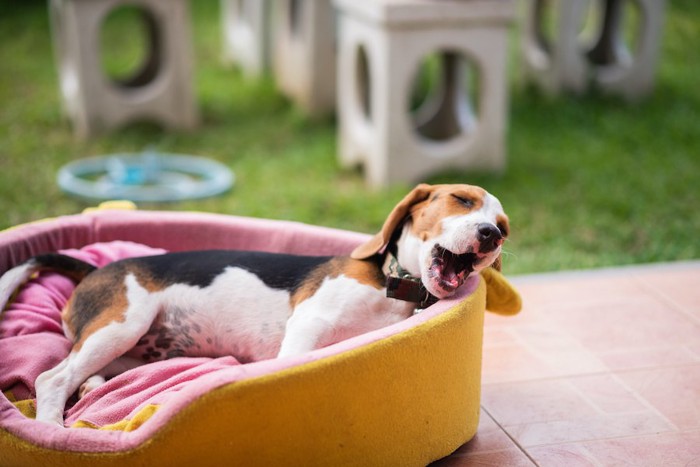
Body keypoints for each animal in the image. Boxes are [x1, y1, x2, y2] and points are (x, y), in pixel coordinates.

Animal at [0, 184, 508, 428]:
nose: (491, 235)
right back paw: (53, 430)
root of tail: (92, 269)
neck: (394, 284)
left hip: (130, 352)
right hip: (122, 323)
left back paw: (91, 389)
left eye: (503, 225)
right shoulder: (310, 321)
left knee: (87, 376)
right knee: (50, 379)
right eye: (461, 199)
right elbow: (295, 357)